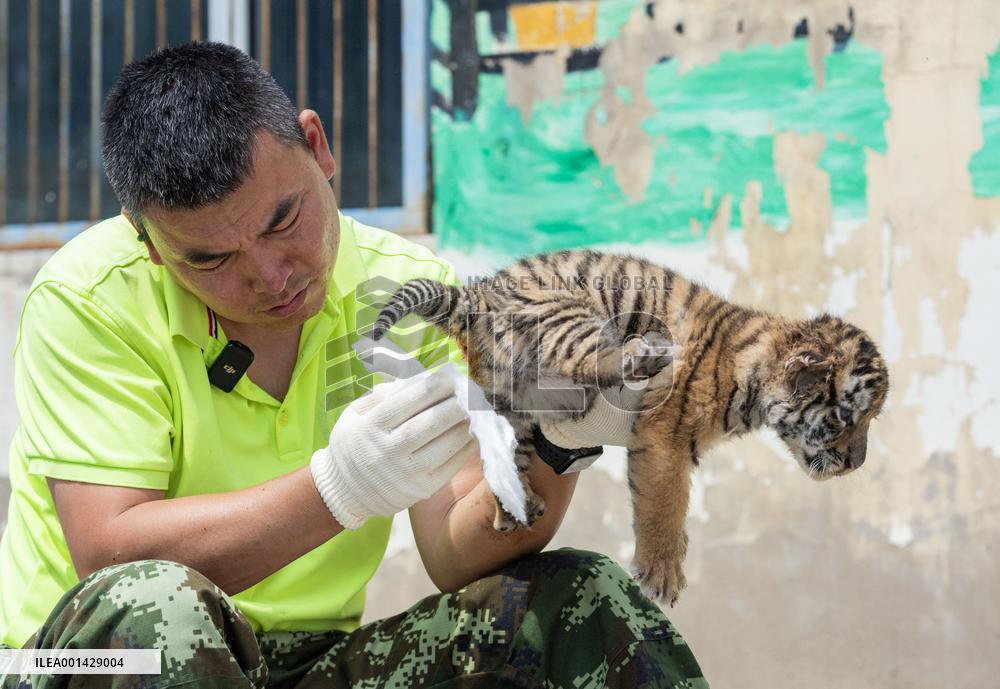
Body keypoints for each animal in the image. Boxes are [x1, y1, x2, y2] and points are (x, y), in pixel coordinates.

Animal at [371, 249, 889, 605]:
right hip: (567, 314)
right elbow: (665, 505)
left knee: (504, 457)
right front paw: (661, 576)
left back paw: (514, 508)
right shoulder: (666, 440)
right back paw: (648, 352)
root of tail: (475, 294)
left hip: (511, 404)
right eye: (846, 418)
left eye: (870, 421)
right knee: (597, 358)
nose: (856, 462)